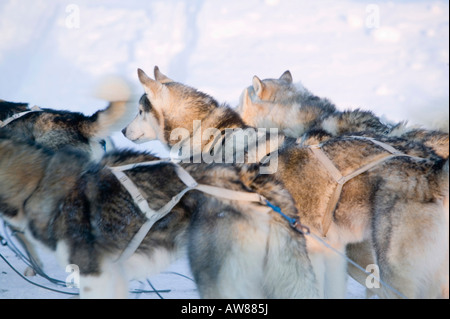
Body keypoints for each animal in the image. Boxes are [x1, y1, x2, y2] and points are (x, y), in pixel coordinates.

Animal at [121, 66, 448, 298]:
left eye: (139, 111)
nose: (122, 130)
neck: (217, 139)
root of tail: (430, 166)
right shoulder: (327, 251)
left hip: (391, 271)